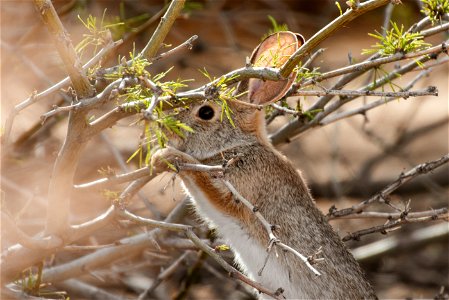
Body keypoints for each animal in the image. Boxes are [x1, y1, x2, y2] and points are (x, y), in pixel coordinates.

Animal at [152, 31, 376, 298]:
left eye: (206, 113)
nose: (164, 127)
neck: (240, 144)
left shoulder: (238, 193)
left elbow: (201, 181)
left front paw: (165, 156)